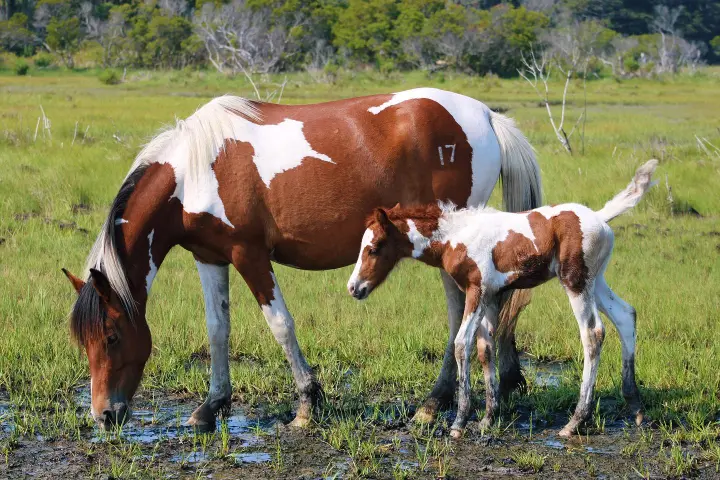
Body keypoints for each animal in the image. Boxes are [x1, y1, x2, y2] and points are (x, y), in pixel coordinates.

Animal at [62, 88, 542, 430]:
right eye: (84, 342)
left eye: (111, 337)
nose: (104, 415)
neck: (194, 170)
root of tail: (487, 115)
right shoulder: (210, 257)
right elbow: (217, 330)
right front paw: (211, 406)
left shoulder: (250, 254)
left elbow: (280, 325)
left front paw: (308, 403)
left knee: (463, 313)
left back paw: (434, 402)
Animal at [347, 160, 657, 437]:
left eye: (374, 248)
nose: (354, 287)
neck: (456, 235)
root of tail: (601, 217)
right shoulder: (491, 296)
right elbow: (485, 349)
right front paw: (487, 418)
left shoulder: (476, 290)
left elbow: (461, 344)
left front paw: (459, 422)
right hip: (596, 281)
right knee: (626, 316)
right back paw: (636, 408)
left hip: (576, 282)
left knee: (593, 333)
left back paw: (575, 422)